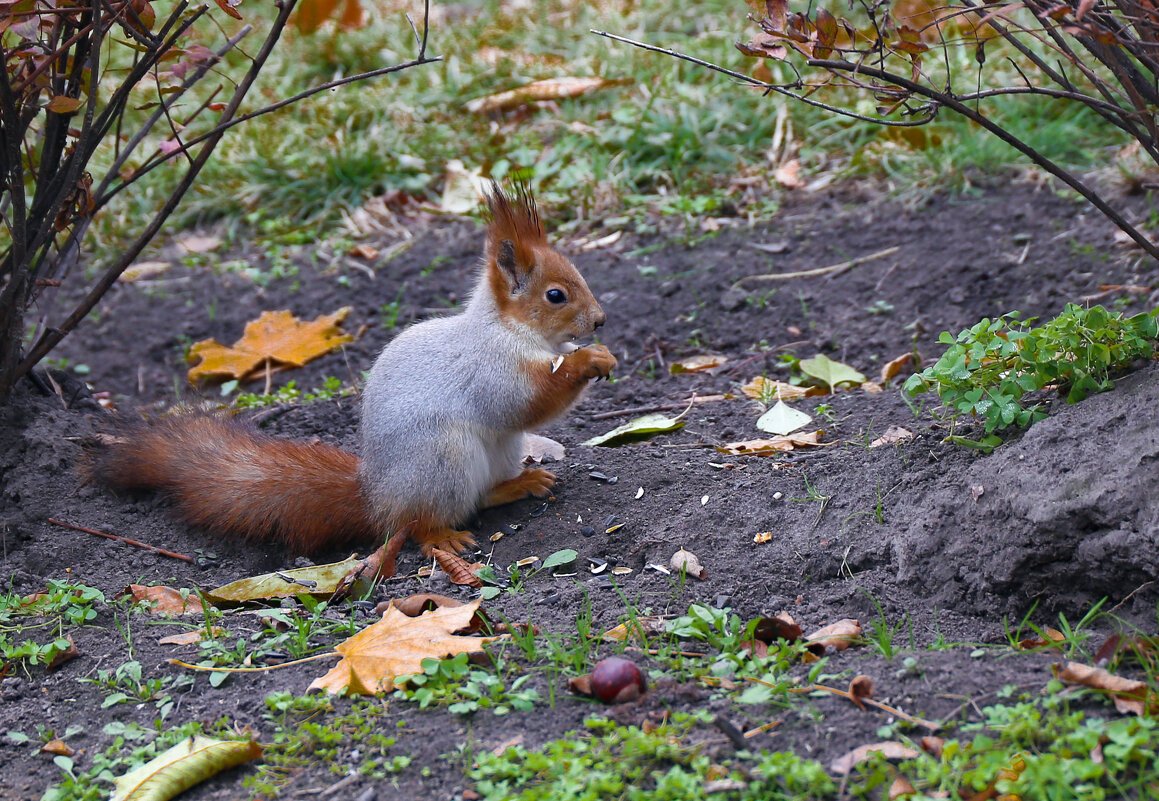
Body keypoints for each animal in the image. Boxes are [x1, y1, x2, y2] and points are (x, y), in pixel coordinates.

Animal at [92, 184, 616, 568]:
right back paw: (443, 537)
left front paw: (600, 355)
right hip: (441, 462)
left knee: (481, 496)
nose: (600, 321)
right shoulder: (490, 369)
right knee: (419, 524)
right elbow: (527, 401)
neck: (511, 329)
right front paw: (588, 361)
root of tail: (378, 498)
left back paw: (520, 484)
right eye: (555, 295)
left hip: (499, 452)